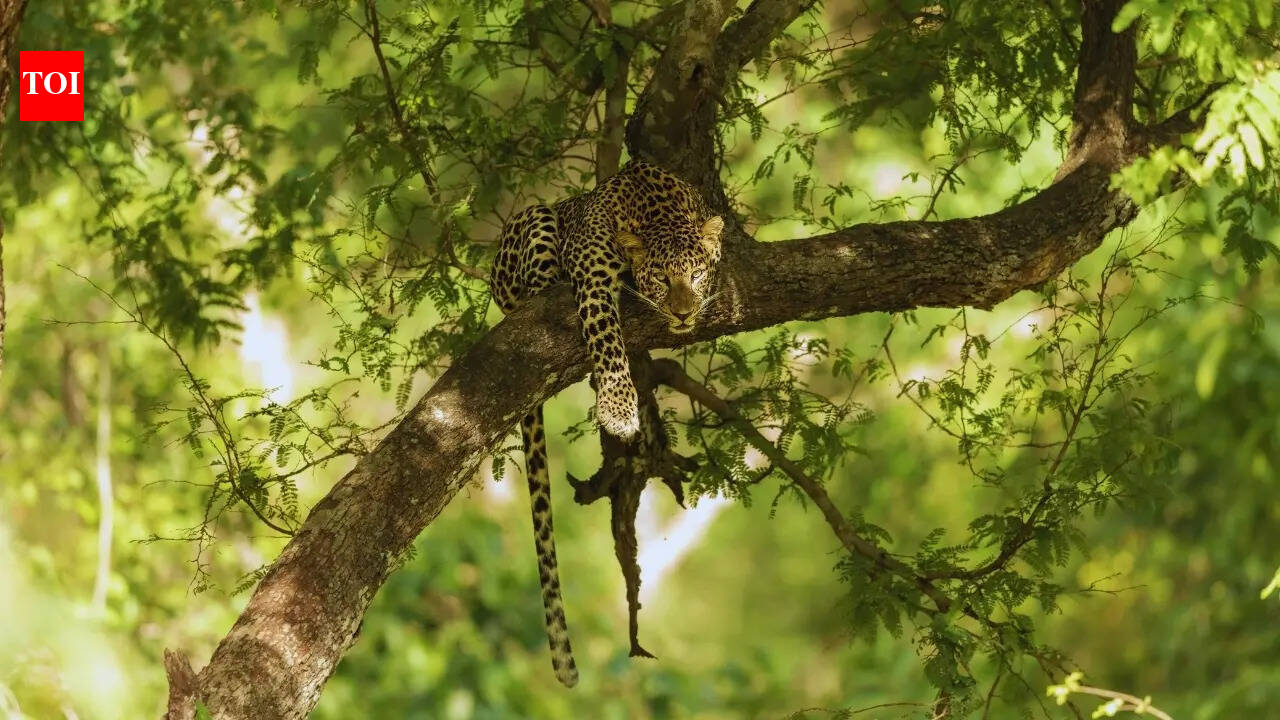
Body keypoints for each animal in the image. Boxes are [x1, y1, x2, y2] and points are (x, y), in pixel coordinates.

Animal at [489, 160, 724, 687]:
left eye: (696, 274)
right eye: (661, 278)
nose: (682, 313)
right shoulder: (593, 275)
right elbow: (606, 337)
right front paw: (618, 410)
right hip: (534, 225)